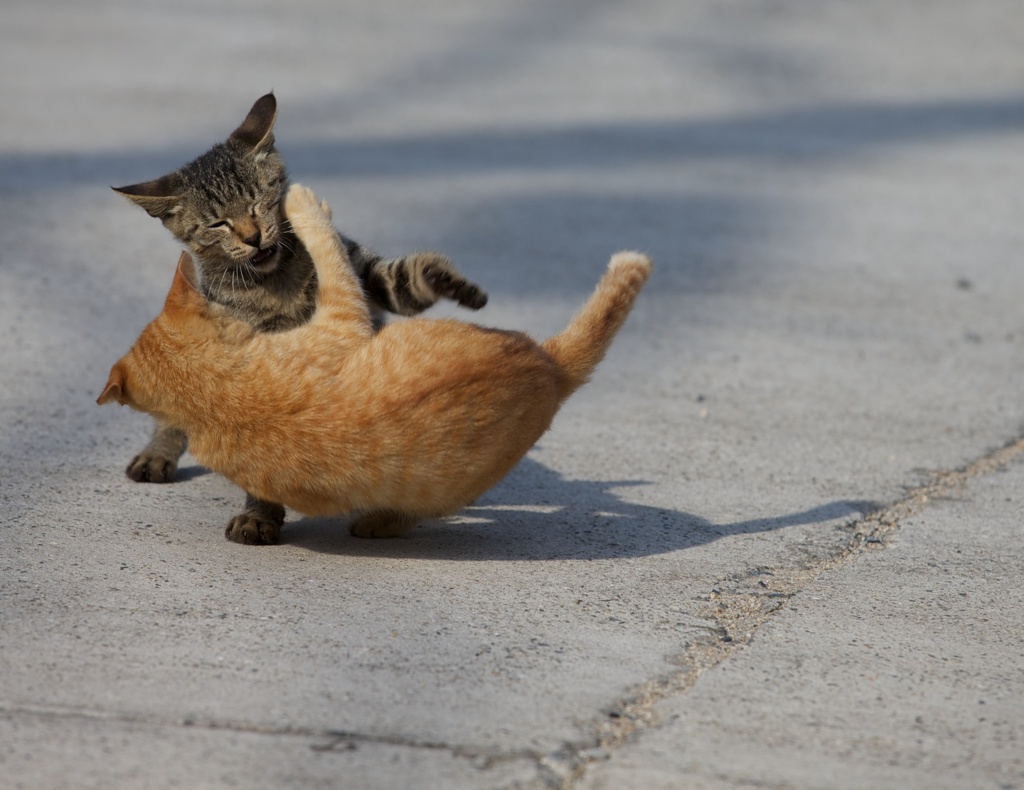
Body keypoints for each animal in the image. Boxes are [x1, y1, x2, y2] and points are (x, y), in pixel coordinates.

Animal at [115, 89, 483, 541]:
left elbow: (402, 281)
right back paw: (157, 453)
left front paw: (444, 279)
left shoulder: (360, 276)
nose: (253, 237)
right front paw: (259, 515)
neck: (277, 281)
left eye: (259, 201)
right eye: (218, 224)